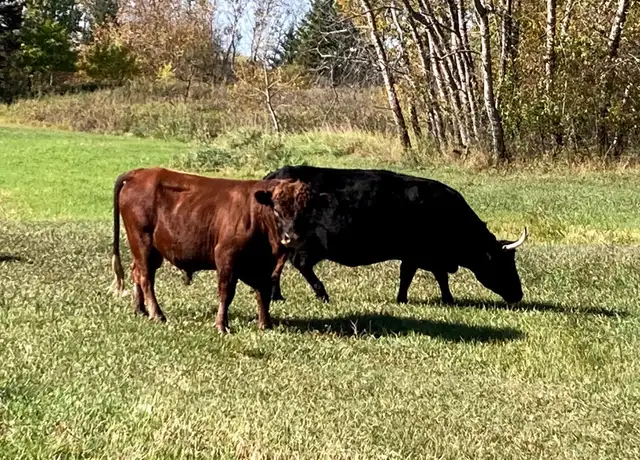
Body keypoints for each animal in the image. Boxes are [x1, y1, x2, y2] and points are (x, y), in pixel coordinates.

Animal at [109, 167, 307, 333]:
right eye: (276, 209)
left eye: (304, 210)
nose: (292, 237)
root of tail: (140, 173)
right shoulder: (226, 257)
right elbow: (226, 293)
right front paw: (221, 325)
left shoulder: (264, 265)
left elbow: (263, 292)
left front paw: (265, 324)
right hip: (144, 244)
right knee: (146, 278)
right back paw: (156, 314)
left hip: (146, 249)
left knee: (137, 272)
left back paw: (140, 309)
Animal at [262, 165, 528, 305]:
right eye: (503, 264)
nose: (518, 294)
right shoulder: (419, 254)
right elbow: (421, 276)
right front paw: (440, 299)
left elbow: (425, 276)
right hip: (307, 245)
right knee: (301, 264)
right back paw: (322, 293)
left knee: (279, 266)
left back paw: (277, 296)